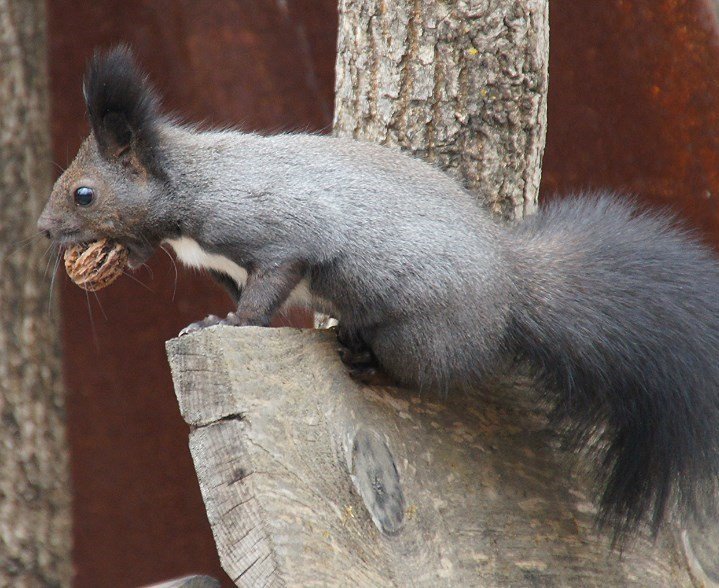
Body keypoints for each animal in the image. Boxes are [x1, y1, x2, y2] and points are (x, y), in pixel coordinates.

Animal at [38, 48, 719, 544]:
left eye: (84, 194)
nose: (44, 231)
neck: (191, 186)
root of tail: (510, 289)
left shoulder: (277, 234)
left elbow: (267, 290)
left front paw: (221, 324)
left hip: (419, 333)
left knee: (425, 373)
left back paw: (367, 360)